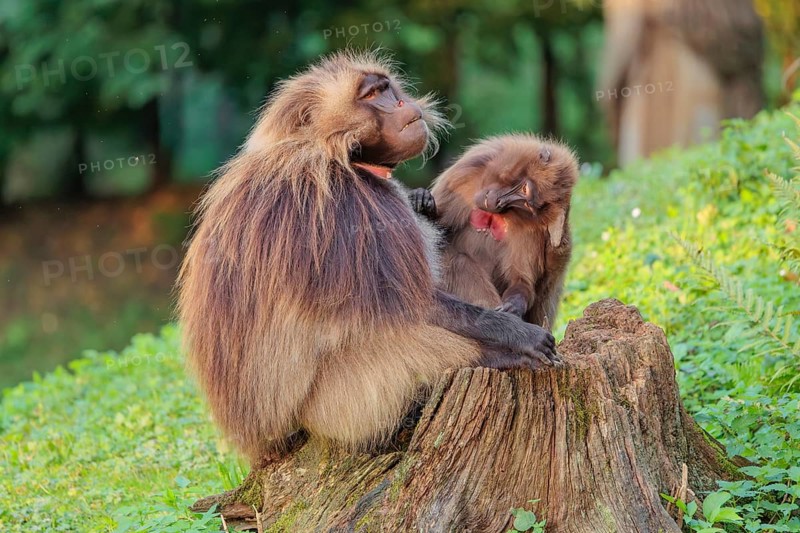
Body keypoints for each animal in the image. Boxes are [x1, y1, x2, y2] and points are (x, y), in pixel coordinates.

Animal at [176, 51, 560, 465]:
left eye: (385, 88)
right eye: (372, 95)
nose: (402, 104)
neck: (330, 151)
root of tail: (263, 444)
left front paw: (422, 201)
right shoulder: (352, 207)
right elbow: (418, 306)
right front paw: (517, 336)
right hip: (330, 407)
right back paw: (494, 358)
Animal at [409, 134, 578, 330]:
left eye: (527, 204)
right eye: (524, 189)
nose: (499, 203)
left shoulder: (535, 228)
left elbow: (522, 280)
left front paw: (513, 306)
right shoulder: (463, 176)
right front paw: (422, 201)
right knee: (454, 259)